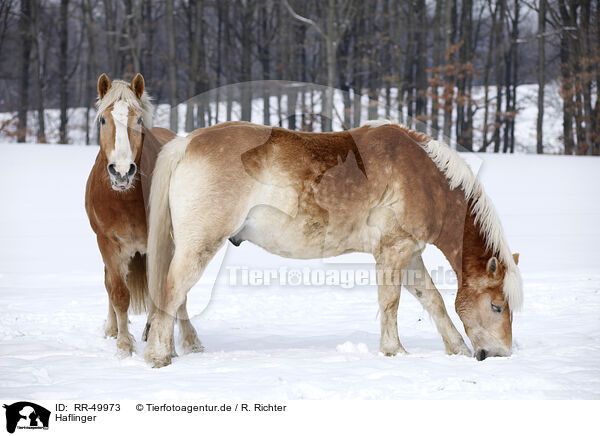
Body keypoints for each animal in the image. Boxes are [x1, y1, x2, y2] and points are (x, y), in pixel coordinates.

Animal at [84, 72, 204, 358]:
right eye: (103, 120)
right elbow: (118, 292)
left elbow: (171, 291)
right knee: (111, 284)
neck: (125, 199)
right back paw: (113, 329)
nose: (122, 171)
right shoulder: (107, 244)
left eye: (138, 119)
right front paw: (123, 346)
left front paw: (179, 343)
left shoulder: (166, 240)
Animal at [143, 120, 524, 368]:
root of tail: (186, 144)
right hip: (199, 246)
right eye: (496, 307)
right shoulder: (394, 251)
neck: (426, 179)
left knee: (174, 295)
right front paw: (394, 351)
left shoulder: (411, 254)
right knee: (172, 291)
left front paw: (456, 348)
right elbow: (391, 303)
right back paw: (160, 356)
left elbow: (433, 301)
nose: (501, 354)